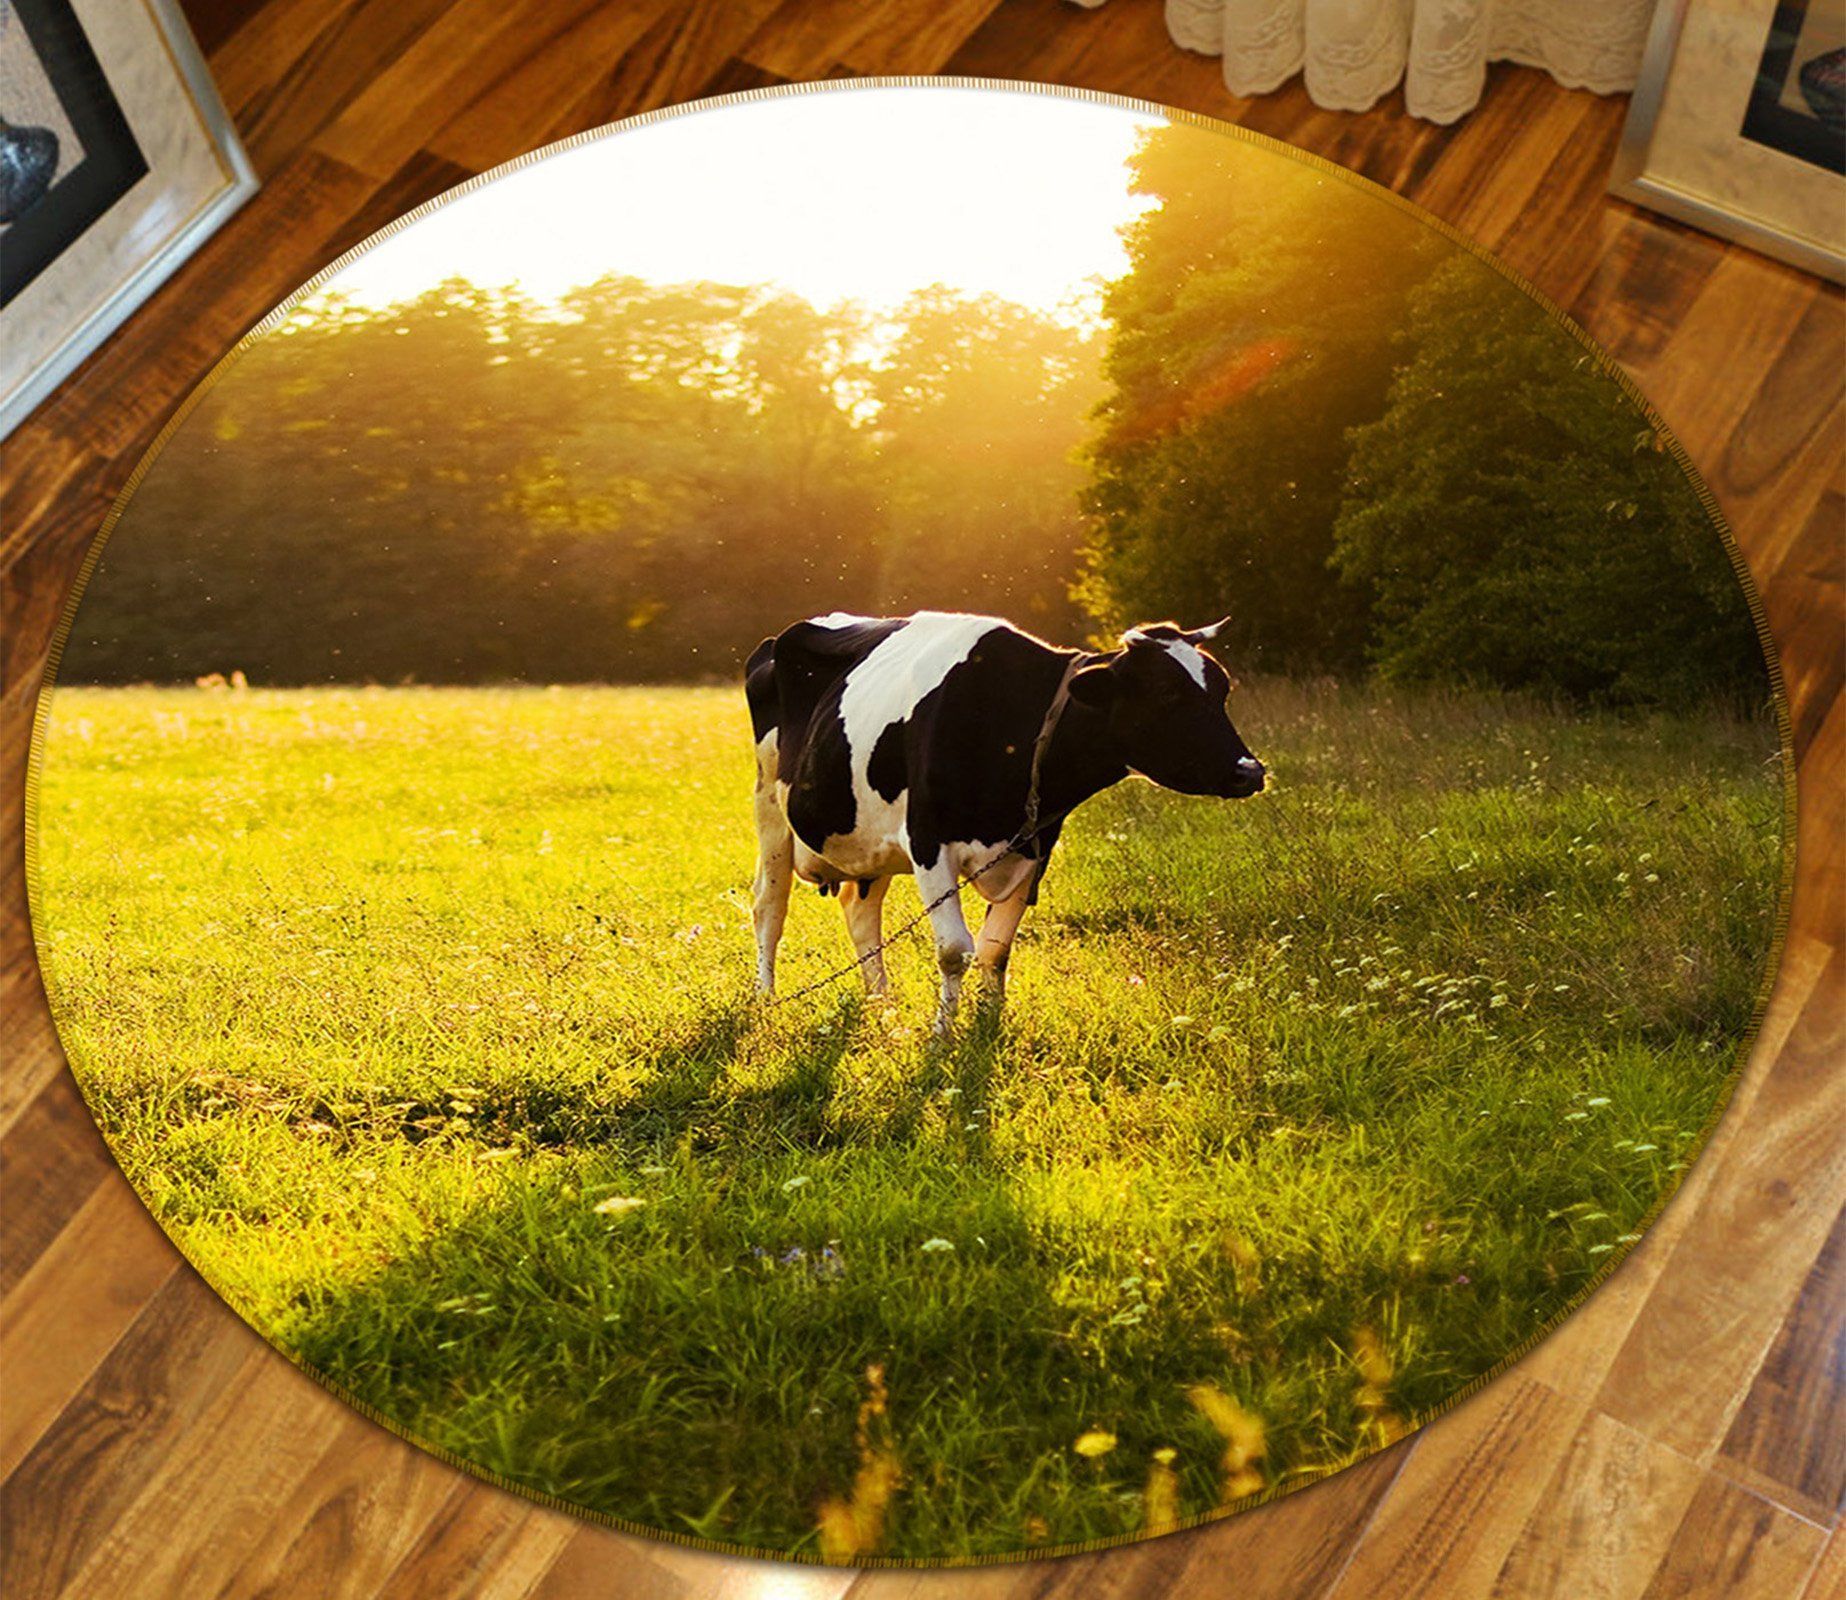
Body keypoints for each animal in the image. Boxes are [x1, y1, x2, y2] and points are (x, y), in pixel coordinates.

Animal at [745, 610, 1265, 1033]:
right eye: (1166, 693)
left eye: (1222, 689)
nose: (1250, 771)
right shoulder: (927, 841)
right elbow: (954, 950)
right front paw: (942, 1038)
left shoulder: (1034, 847)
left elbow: (995, 950)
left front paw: (988, 1027)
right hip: (769, 807)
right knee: (769, 907)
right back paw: (766, 1001)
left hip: (866, 842)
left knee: (859, 910)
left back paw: (882, 1005)